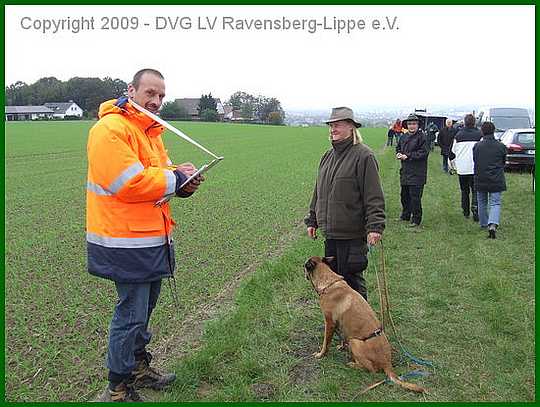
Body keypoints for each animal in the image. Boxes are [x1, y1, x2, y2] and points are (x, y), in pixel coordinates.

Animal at [304, 256, 425, 393]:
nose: (302, 269)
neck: (328, 282)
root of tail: (387, 363)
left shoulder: (329, 322)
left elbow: (325, 343)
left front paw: (320, 354)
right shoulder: (338, 324)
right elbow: (340, 336)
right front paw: (341, 346)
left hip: (354, 342)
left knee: (371, 369)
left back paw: (353, 364)